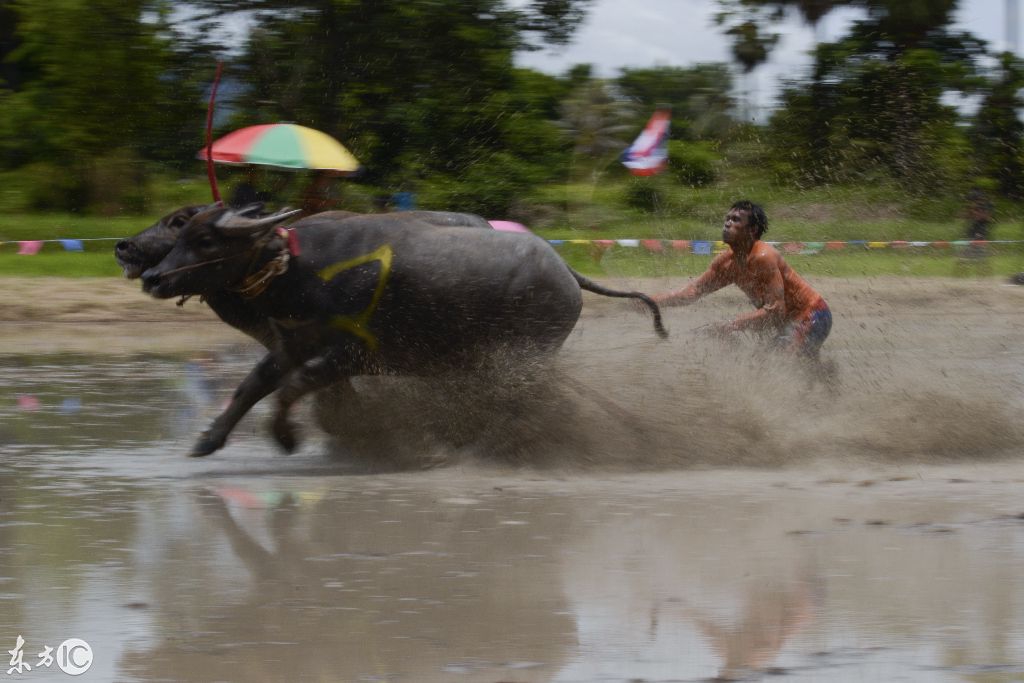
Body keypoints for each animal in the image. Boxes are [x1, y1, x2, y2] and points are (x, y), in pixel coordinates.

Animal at [134, 205, 663, 456]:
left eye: (203, 238)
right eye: (181, 234)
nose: (152, 276)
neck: (301, 270)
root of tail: (566, 271)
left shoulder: (353, 354)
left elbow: (292, 388)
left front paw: (286, 437)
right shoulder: (291, 344)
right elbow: (253, 386)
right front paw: (208, 440)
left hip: (521, 356)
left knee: (515, 401)